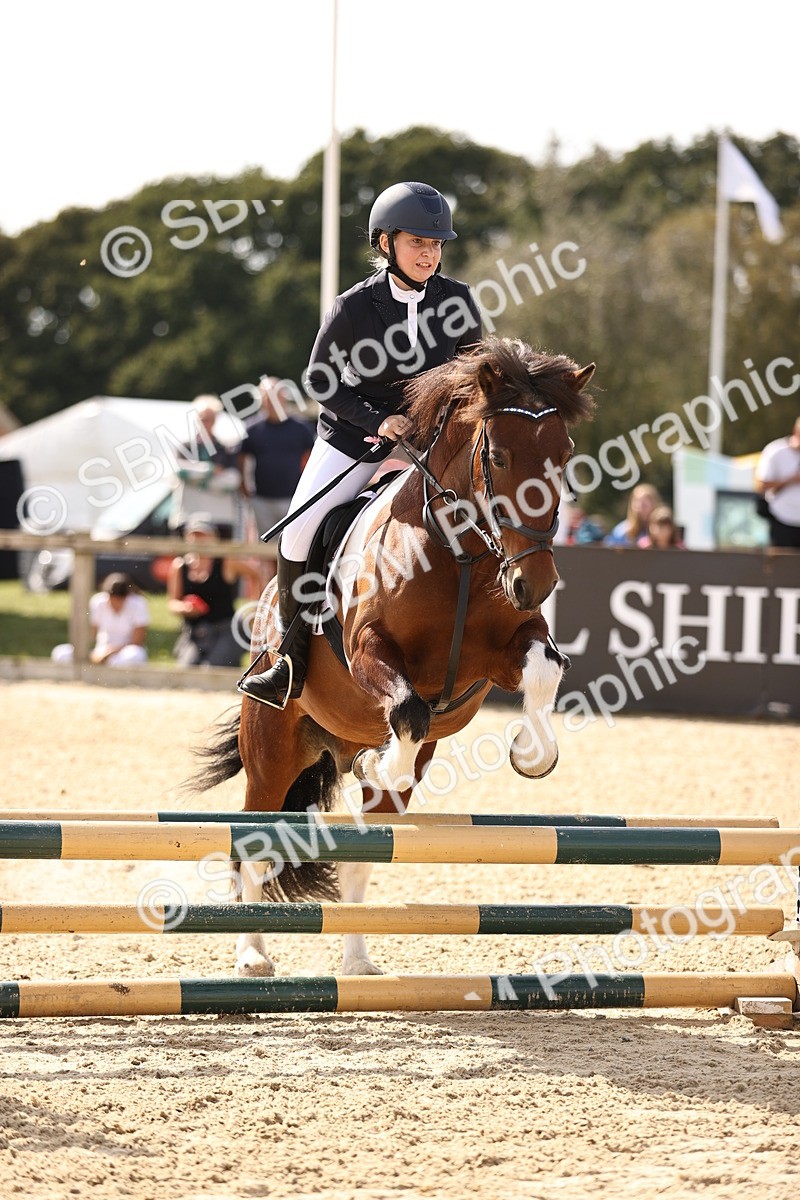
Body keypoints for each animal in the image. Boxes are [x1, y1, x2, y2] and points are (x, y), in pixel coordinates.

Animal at [192, 337, 595, 978]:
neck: (458, 552)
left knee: (363, 851)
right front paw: (385, 763)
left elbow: (544, 670)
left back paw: (357, 960)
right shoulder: (369, 650)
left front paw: (534, 755)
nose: (536, 583)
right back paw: (252, 955)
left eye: (565, 455)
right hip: (272, 750)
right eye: (499, 456)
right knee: (253, 844)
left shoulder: (505, 650)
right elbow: (408, 710)